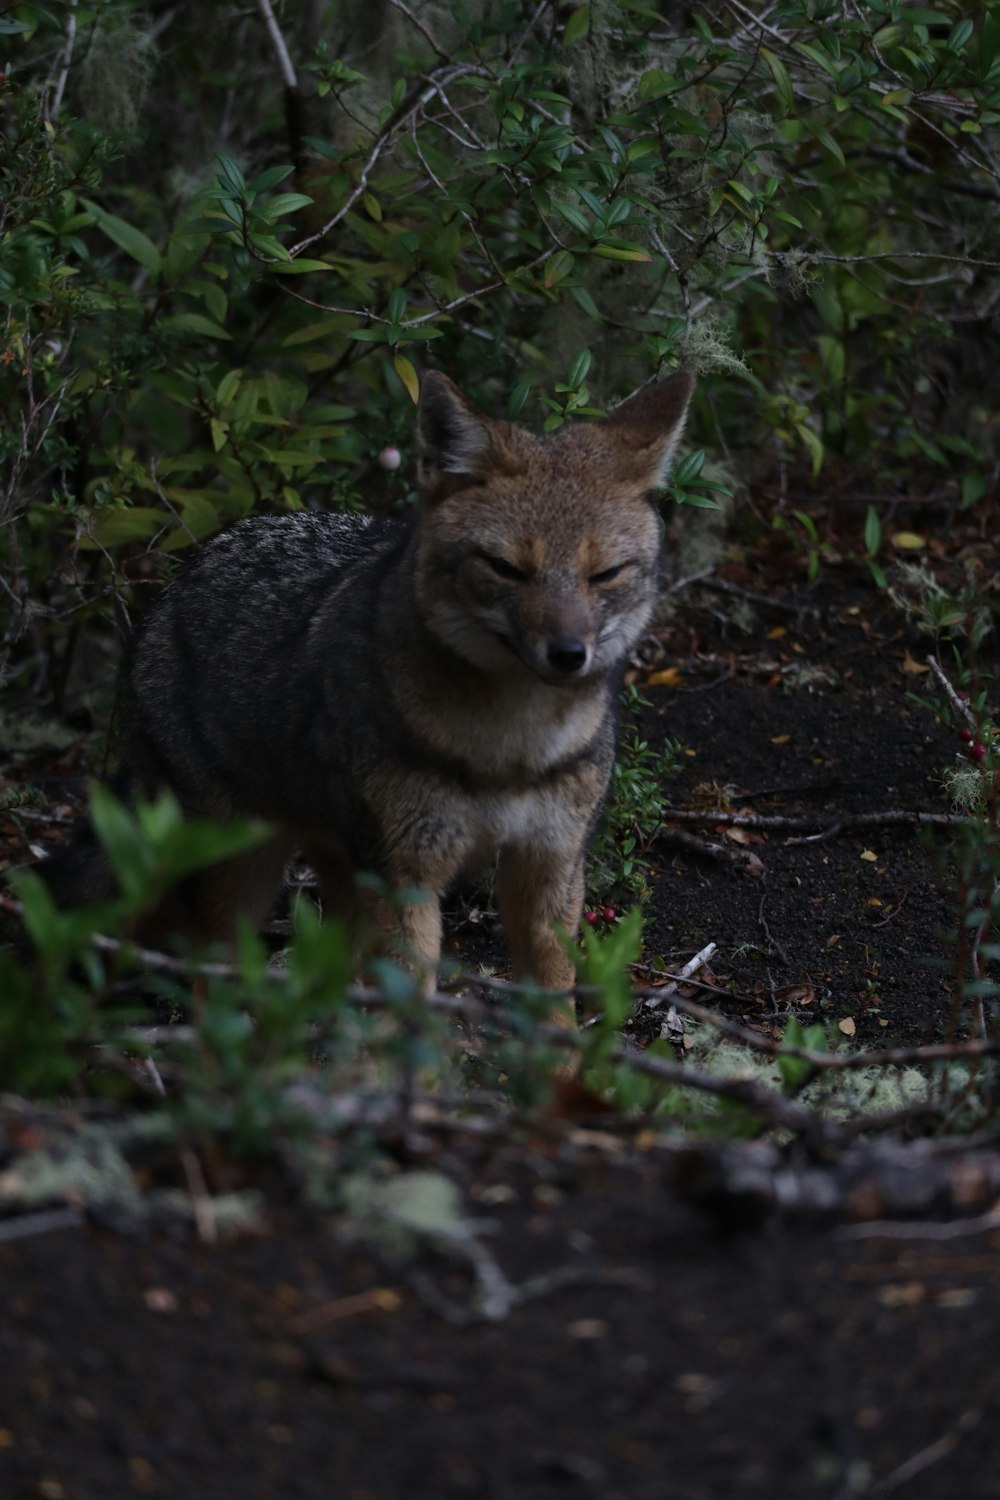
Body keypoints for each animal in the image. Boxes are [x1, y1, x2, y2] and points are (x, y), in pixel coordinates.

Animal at [41, 364, 695, 996]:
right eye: (507, 569)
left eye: (605, 574)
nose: (567, 655)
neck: (510, 751)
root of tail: (189, 567)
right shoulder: (405, 878)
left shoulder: (548, 871)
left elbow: (554, 1012)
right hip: (243, 868)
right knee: (212, 976)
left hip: (338, 862)